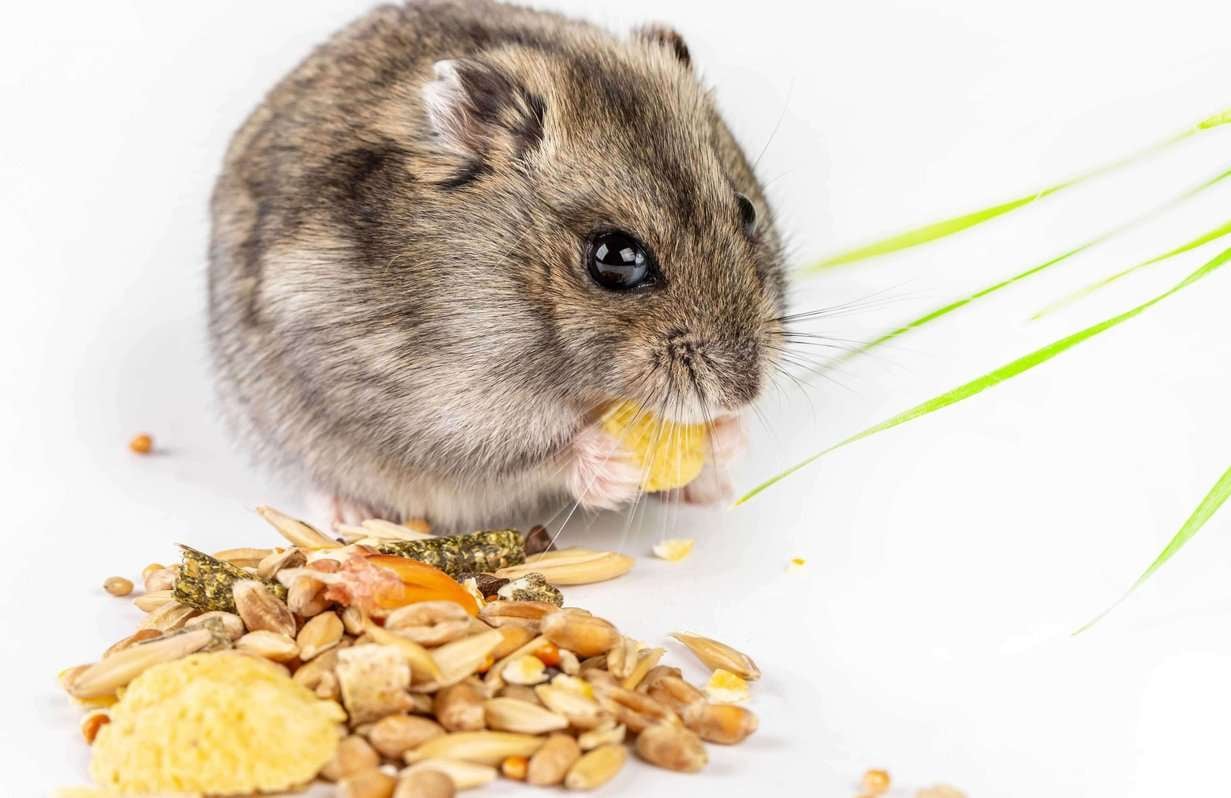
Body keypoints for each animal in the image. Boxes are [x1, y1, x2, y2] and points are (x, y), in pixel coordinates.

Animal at [208, 0, 787, 531]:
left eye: (747, 211)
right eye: (614, 258)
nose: (744, 392)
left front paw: (727, 439)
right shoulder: (444, 412)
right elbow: (535, 453)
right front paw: (611, 463)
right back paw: (349, 517)